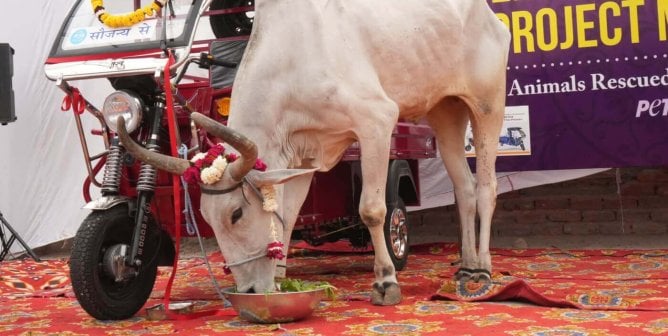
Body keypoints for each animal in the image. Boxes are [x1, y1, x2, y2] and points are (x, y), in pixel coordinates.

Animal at [118, 0, 512, 304]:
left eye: (235, 214)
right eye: (206, 219)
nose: (248, 289)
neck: (293, 60)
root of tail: (489, 15)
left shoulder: (376, 120)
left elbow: (371, 210)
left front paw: (385, 282)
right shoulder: (302, 156)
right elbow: (289, 217)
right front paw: (279, 279)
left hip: (489, 104)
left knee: (486, 188)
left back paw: (484, 269)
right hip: (445, 110)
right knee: (464, 189)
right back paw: (467, 265)